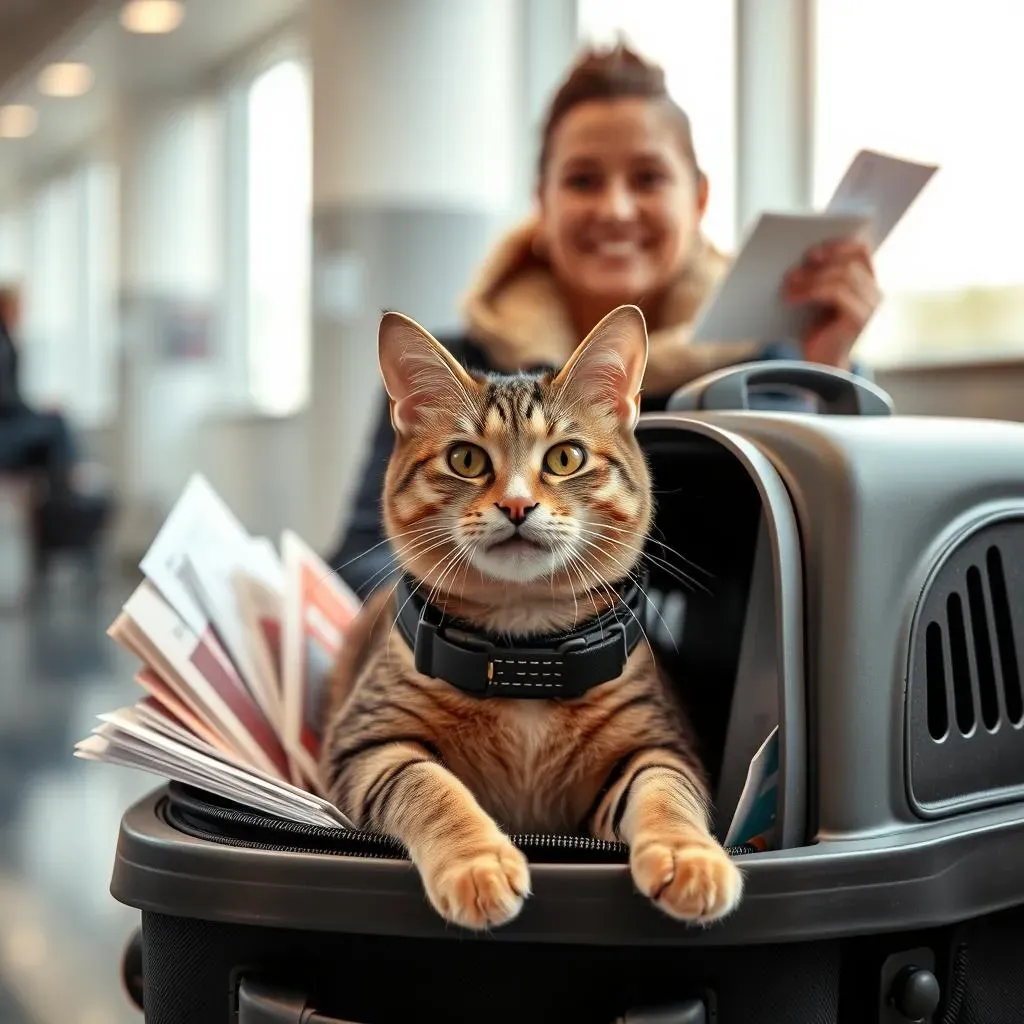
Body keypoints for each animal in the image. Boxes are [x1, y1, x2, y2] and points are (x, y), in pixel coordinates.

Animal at [315, 301, 741, 929]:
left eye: (566, 457)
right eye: (466, 459)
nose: (517, 505)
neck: (526, 661)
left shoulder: (659, 746)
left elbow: (666, 793)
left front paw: (691, 856)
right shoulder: (368, 745)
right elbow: (431, 787)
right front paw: (476, 863)